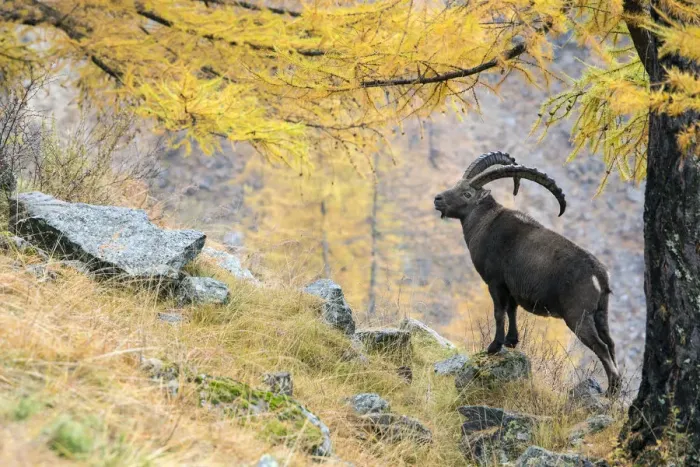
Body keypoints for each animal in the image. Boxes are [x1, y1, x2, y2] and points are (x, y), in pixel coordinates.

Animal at [433, 152, 620, 394]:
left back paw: (611, 392)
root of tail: (599, 275)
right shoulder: (511, 287)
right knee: (611, 343)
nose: (438, 199)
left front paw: (494, 346)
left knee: (602, 347)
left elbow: (499, 312)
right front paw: (512, 341)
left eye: (467, 193)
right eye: (457, 185)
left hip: (577, 315)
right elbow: (512, 311)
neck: (485, 222)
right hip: (600, 312)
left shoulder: (495, 282)